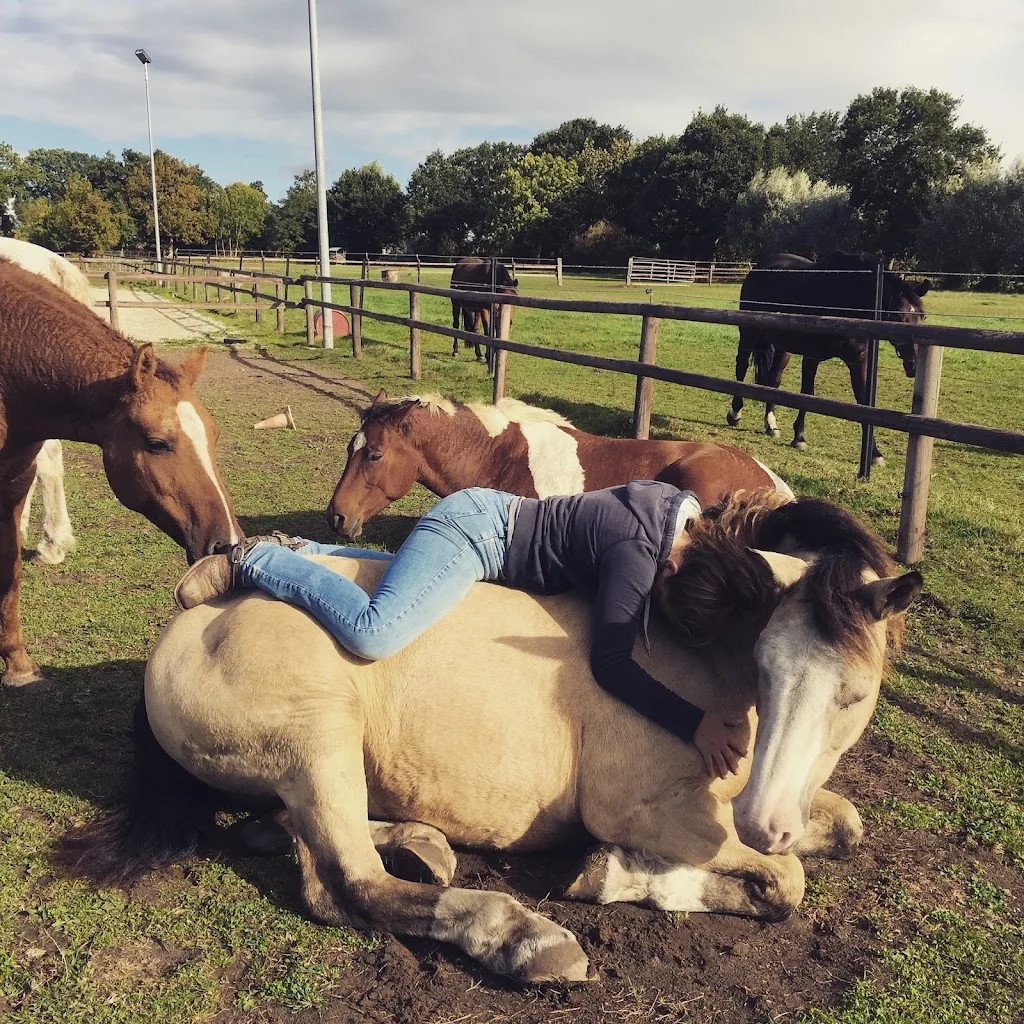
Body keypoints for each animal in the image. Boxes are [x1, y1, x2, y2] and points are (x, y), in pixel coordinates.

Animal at [59, 490, 922, 983]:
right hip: (318, 740)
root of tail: (187, 626)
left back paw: (425, 844)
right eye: (767, 667)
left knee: (288, 840)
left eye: (854, 693)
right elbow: (784, 883)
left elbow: (843, 827)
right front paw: (610, 875)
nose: (766, 822)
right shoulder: (641, 811)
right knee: (348, 883)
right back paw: (520, 937)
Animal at [726, 252, 930, 465]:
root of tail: (759, 268)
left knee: (773, 380)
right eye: (898, 317)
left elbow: (864, 400)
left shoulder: (859, 361)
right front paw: (799, 438)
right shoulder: (811, 356)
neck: (845, 301)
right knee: (741, 368)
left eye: (923, 316)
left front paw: (874, 453)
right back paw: (735, 413)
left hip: (783, 347)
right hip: (749, 333)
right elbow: (807, 393)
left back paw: (771, 425)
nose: (914, 365)